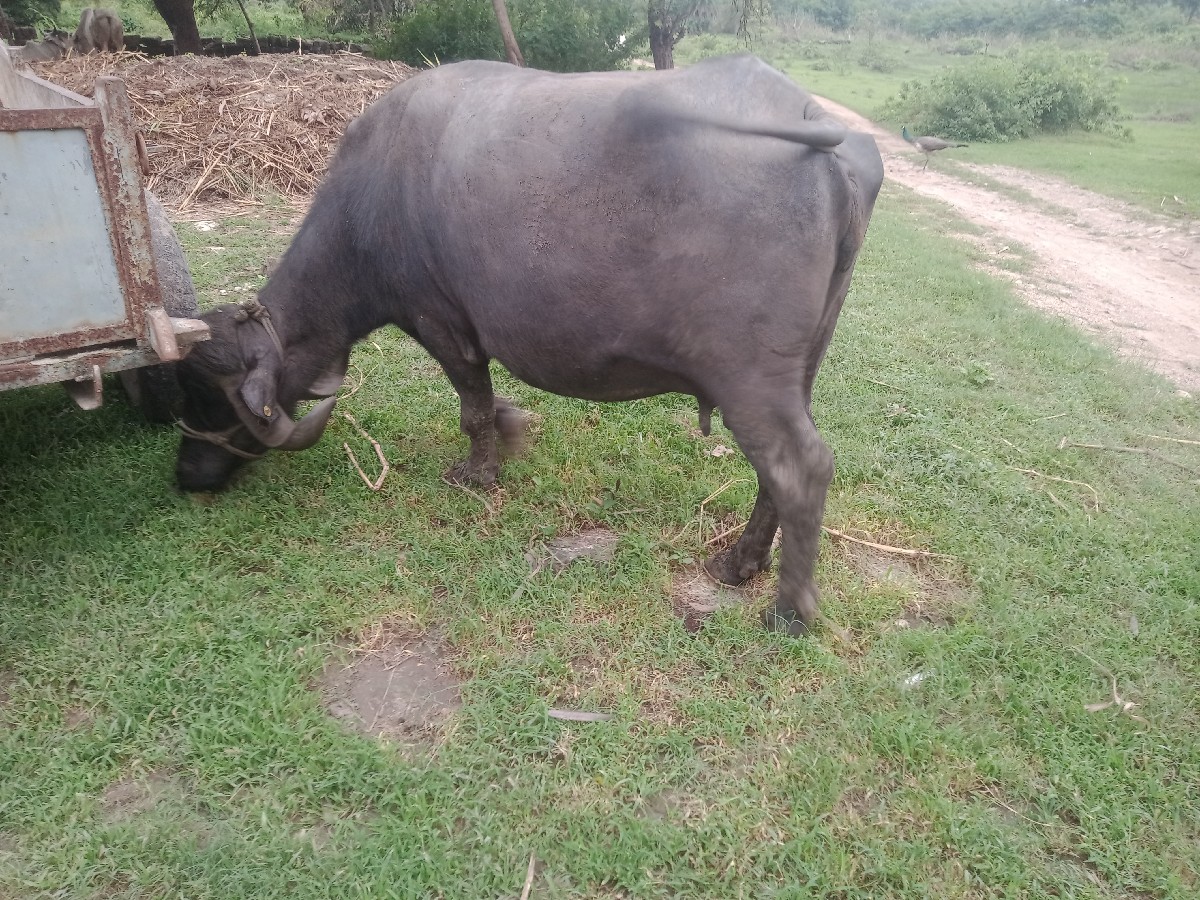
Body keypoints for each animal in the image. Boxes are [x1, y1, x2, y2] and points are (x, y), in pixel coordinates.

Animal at [173, 55, 884, 636]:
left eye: (211, 401)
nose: (186, 476)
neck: (370, 204)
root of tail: (816, 129)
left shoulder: (439, 322)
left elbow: (473, 406)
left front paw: (477, 473)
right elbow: (492, 405)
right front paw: (514, 432)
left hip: (748, 378)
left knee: (799, 468)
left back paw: (788, 611)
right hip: (799, 370)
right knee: (776, 470)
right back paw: (739, 563)